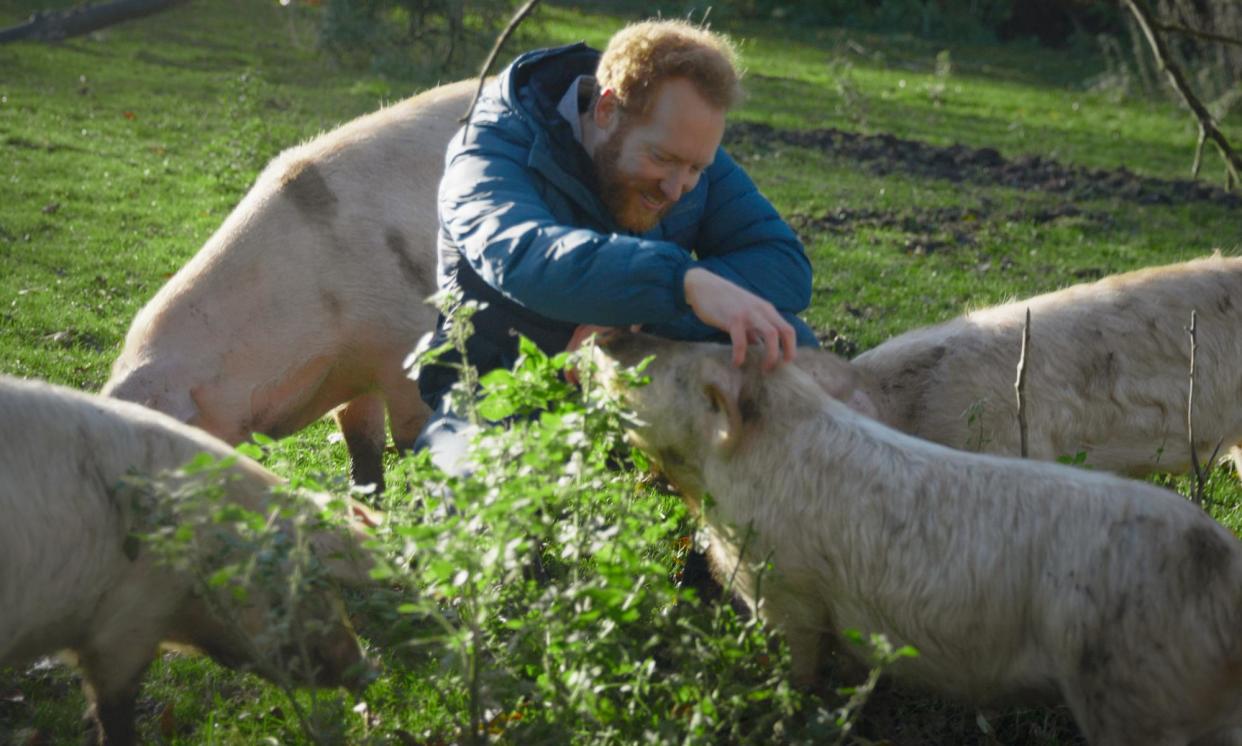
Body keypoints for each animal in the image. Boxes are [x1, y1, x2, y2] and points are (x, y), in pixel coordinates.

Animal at [601, 335, 1242, 744]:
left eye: (660, 364)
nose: (611, 330)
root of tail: (1226, 571)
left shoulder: (785, 589)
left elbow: (798, 666)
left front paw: (786, 714)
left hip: (1137, 691)